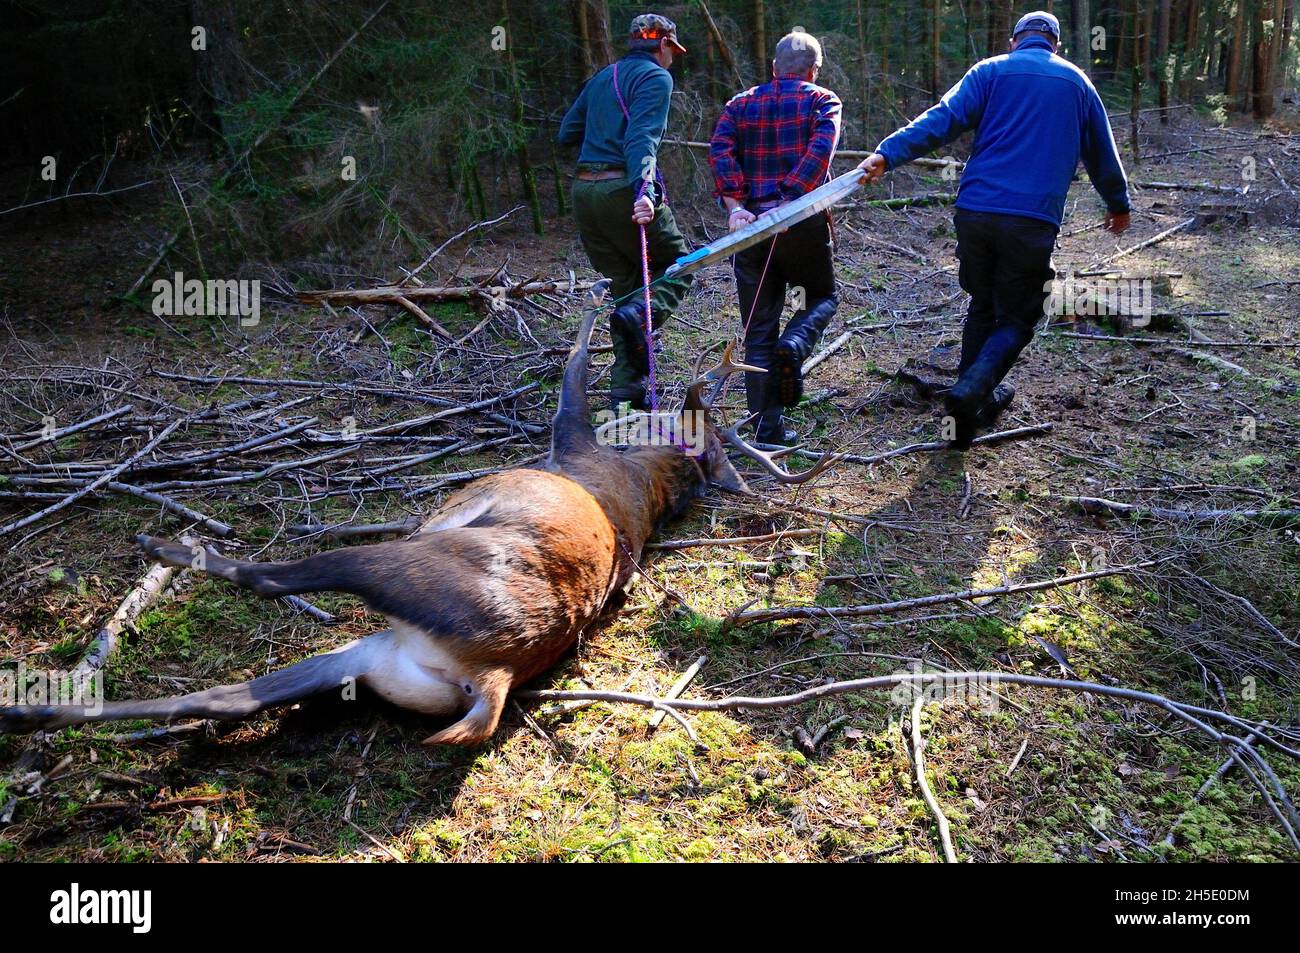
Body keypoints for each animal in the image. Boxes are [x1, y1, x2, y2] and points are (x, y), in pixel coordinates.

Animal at [2, 282, 832, 743]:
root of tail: (492, 676)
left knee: (272, 580)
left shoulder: (566, 431)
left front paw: (595, 301)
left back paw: (169, 550)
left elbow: (571, 366)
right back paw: (37, 711)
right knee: (216, 697)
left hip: (400, 569)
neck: (644, 477)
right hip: (367, 658)